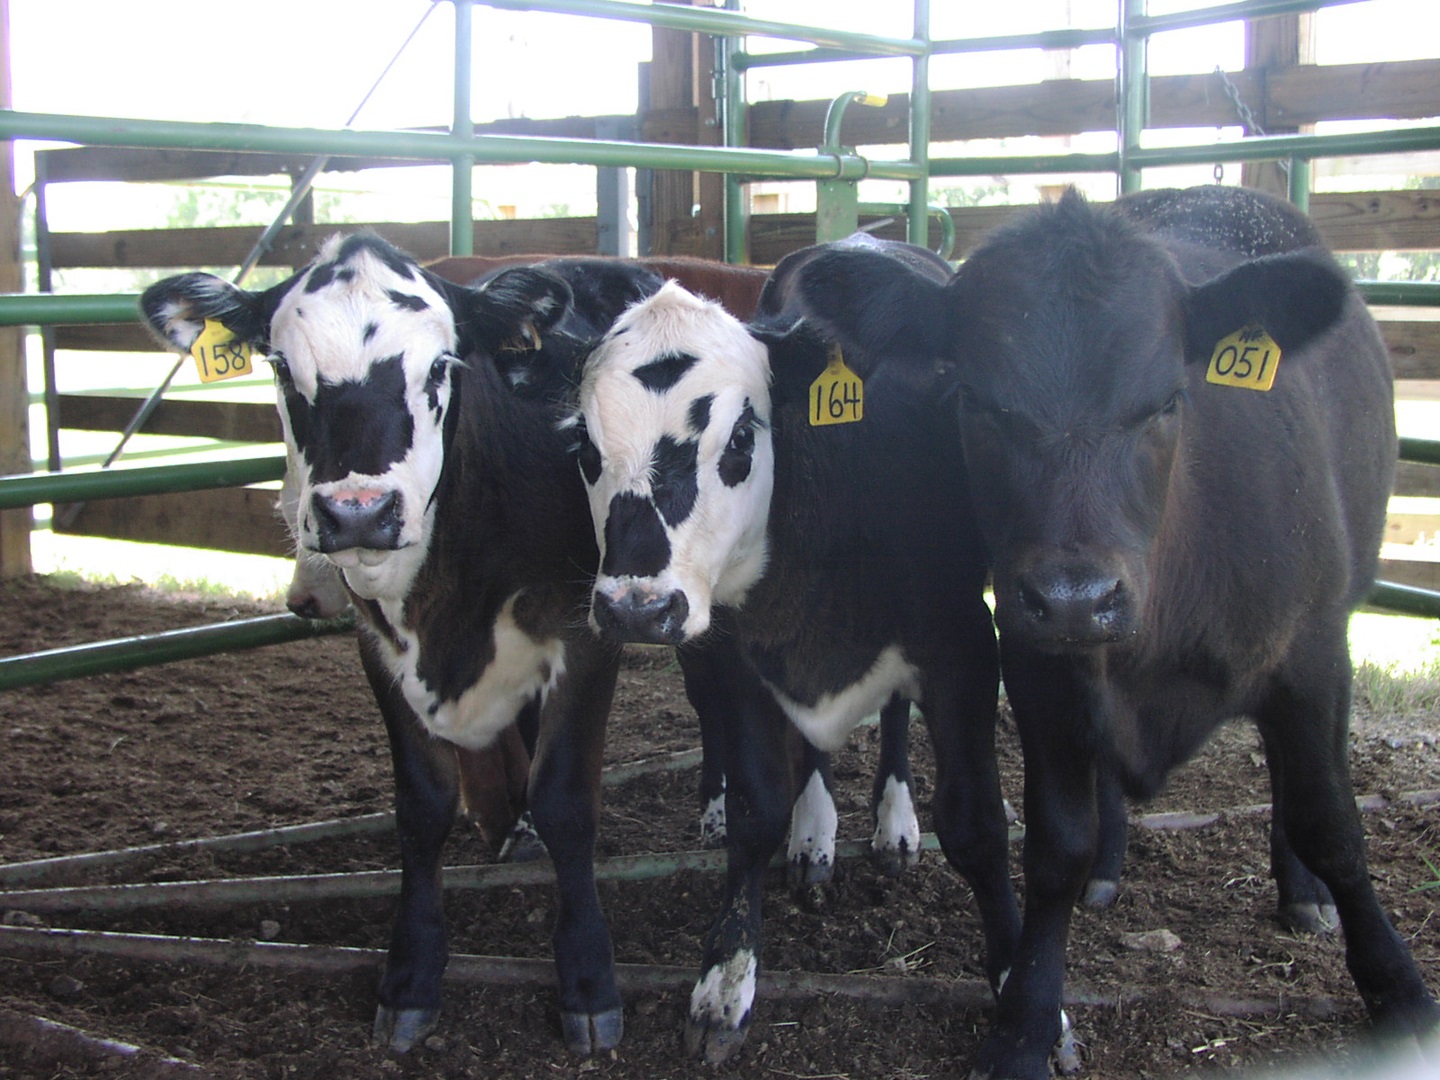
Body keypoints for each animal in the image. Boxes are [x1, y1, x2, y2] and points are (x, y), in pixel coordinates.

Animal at [569, 234, 1021, 1064]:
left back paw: (893, 821)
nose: (636, 608)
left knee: (895, 718)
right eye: (585, 445)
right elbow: (757, 809)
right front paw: (725, 978)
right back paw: (814, 833)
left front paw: (1023, 991)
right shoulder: (737, 654)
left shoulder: (965, 646)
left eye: (742, 438)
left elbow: (977, 823)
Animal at [776, 185, 1439, 1078]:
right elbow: (1056, 845)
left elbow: (1332, 823)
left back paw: (1300, 892)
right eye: (978, 401)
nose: (1075, 597)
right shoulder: (1038, 666)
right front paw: (1026, 1022)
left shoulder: (1313, 657)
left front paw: (1398, 988)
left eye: (1165, 403)